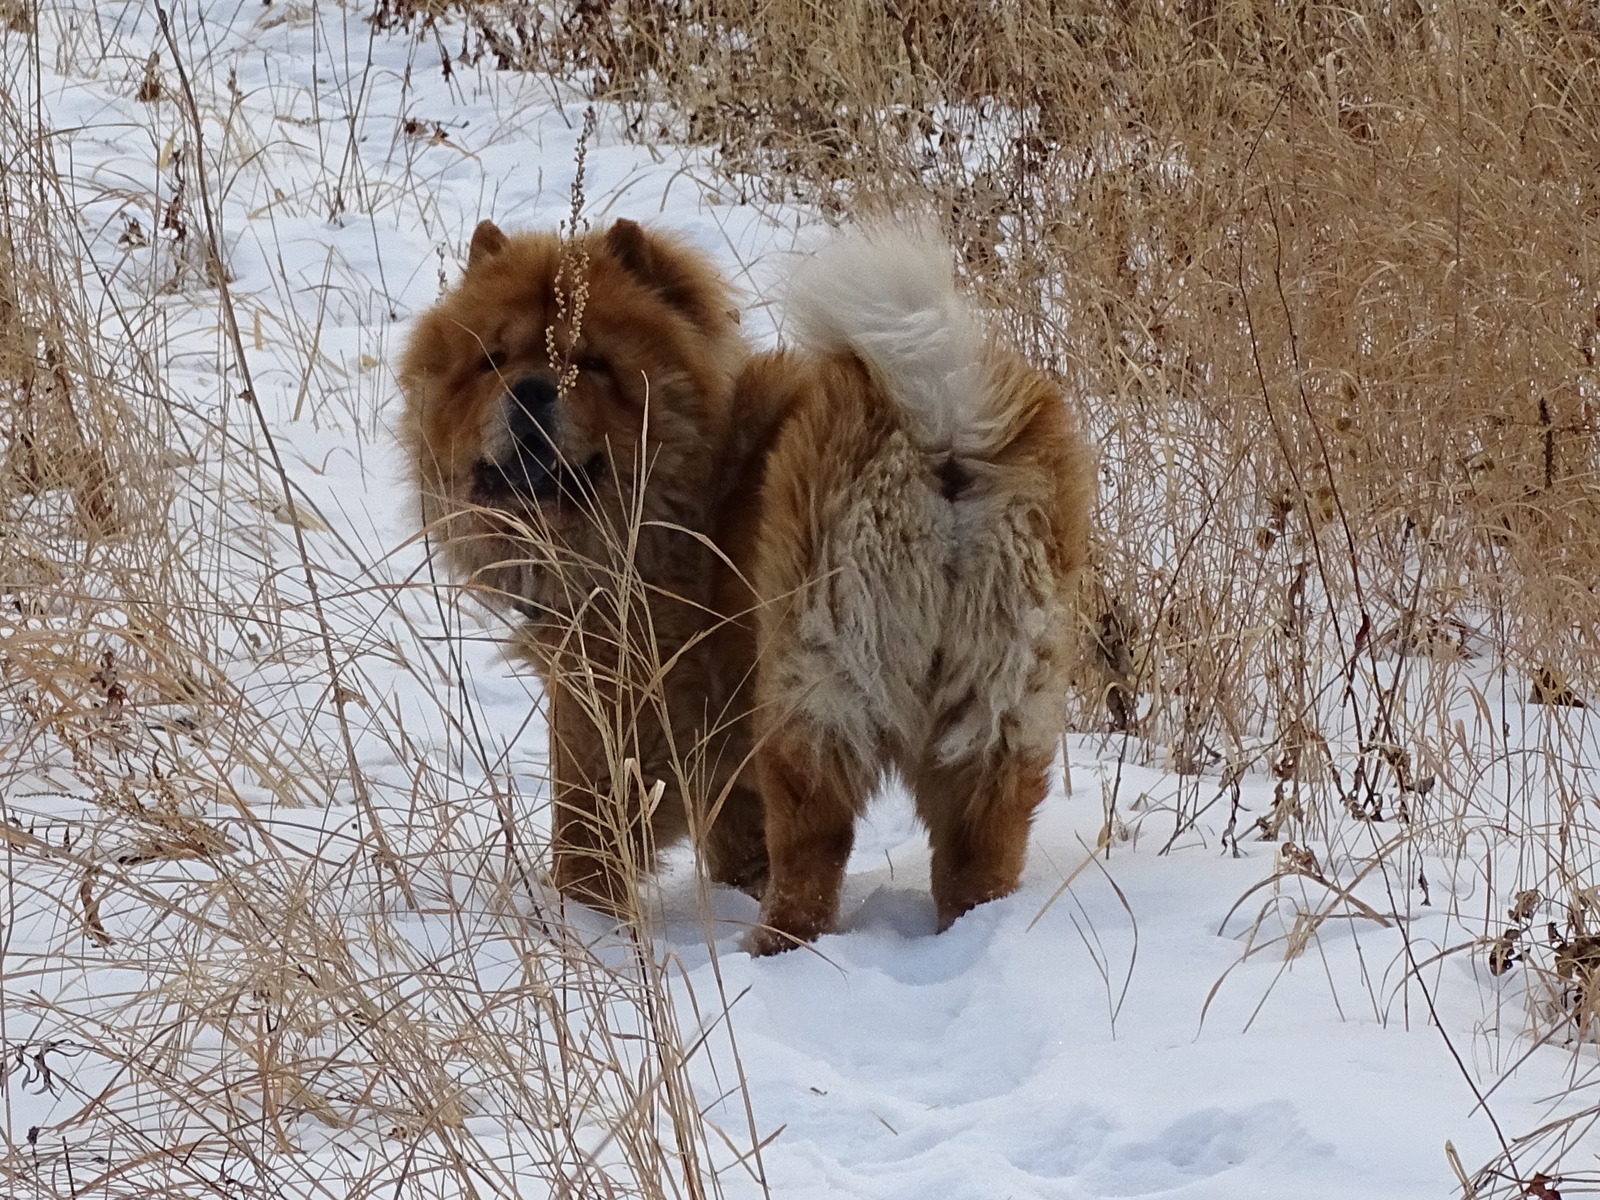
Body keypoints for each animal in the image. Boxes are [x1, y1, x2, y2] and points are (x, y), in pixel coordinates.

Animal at [406, 216, 1094, 953]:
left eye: (591, 362)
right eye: (493, 360)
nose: (531, 391)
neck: (690, 491)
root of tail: (937, 426)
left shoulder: (620, 705)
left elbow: (586, 828)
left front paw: (583, 924)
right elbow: (734, 844)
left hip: (811, 684)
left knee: (814, 851)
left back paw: (768, 949)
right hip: (995, 695)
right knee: (979, 844)